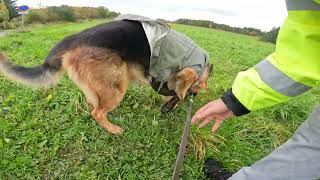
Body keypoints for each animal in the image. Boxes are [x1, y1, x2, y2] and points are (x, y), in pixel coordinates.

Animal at [0, 20, 212, 134]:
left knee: (94, 105)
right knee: (97, 112)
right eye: (197, 88)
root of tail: (73, 39)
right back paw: (113, 129)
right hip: (117, 87)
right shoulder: (166, 73)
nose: (193, 96)